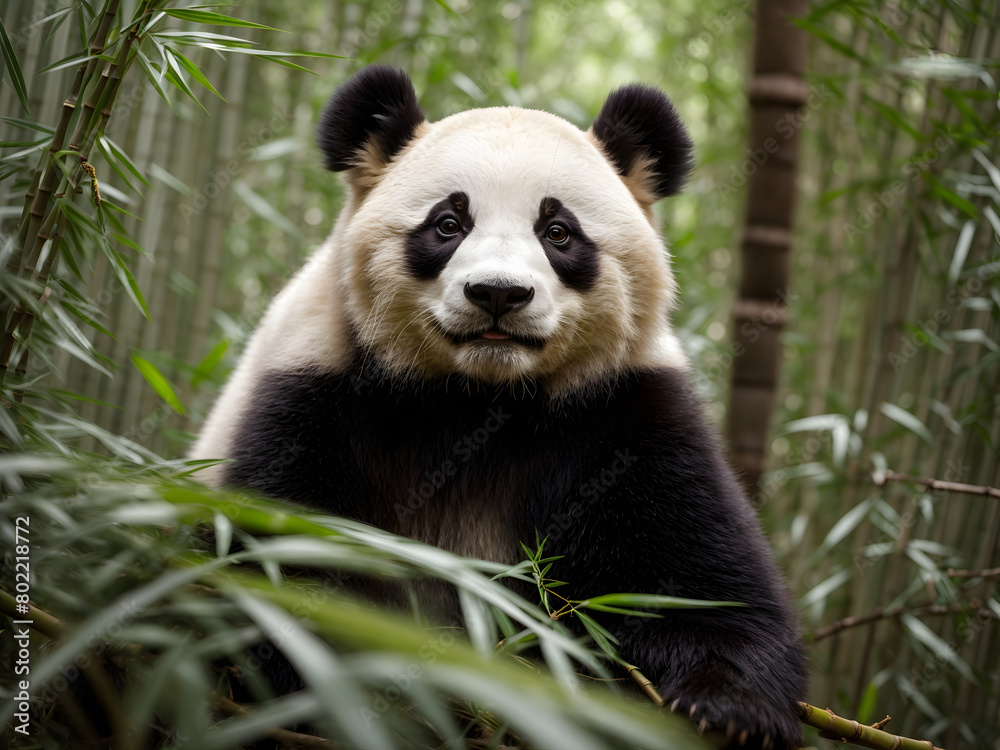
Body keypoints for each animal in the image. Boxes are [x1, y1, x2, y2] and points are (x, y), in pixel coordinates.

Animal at [191, 65, 808, 749]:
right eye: (447, 224)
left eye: (557, 231)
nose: (498, 294)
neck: (483, 397)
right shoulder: (317, 391)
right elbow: (283, 559)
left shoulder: (626, 408)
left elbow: (696, 576)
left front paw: (731, 710)